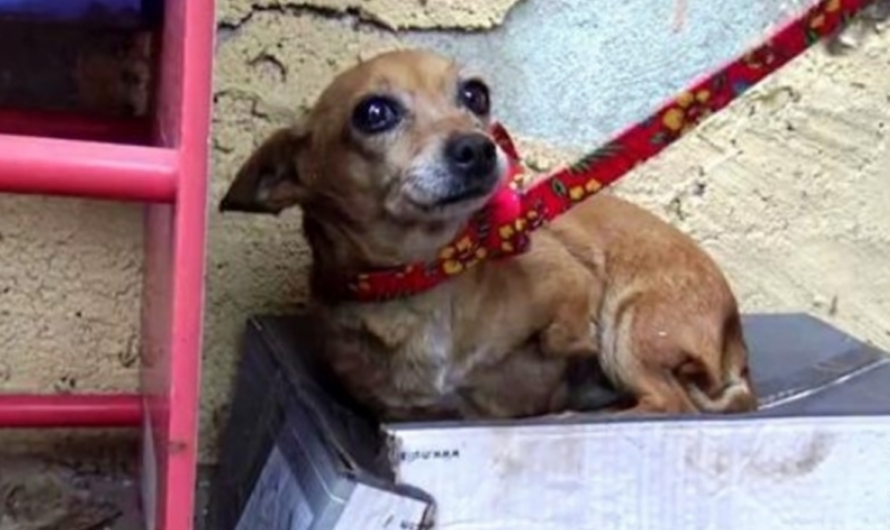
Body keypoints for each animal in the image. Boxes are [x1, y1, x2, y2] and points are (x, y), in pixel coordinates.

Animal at [219, 47, 752, 418]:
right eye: (373, 113)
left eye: (476, 95)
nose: (477, 147)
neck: (426, 276)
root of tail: (735, 337)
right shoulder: (415, 413)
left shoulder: (572, 276)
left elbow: (566, 330)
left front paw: (571, 347)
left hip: (632, 326)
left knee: (670, 402)